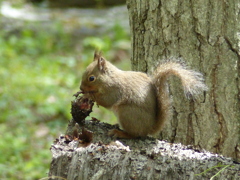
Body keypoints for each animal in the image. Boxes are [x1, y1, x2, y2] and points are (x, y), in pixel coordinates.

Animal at [79, 51, 207, 139]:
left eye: (91, 78)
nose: (81, 88)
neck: (110, 78)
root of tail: (148, 129)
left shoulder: (115, 90)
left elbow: (107, 101)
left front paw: (88, 96)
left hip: (126, 113)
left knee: (134, 135)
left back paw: (120, 133)